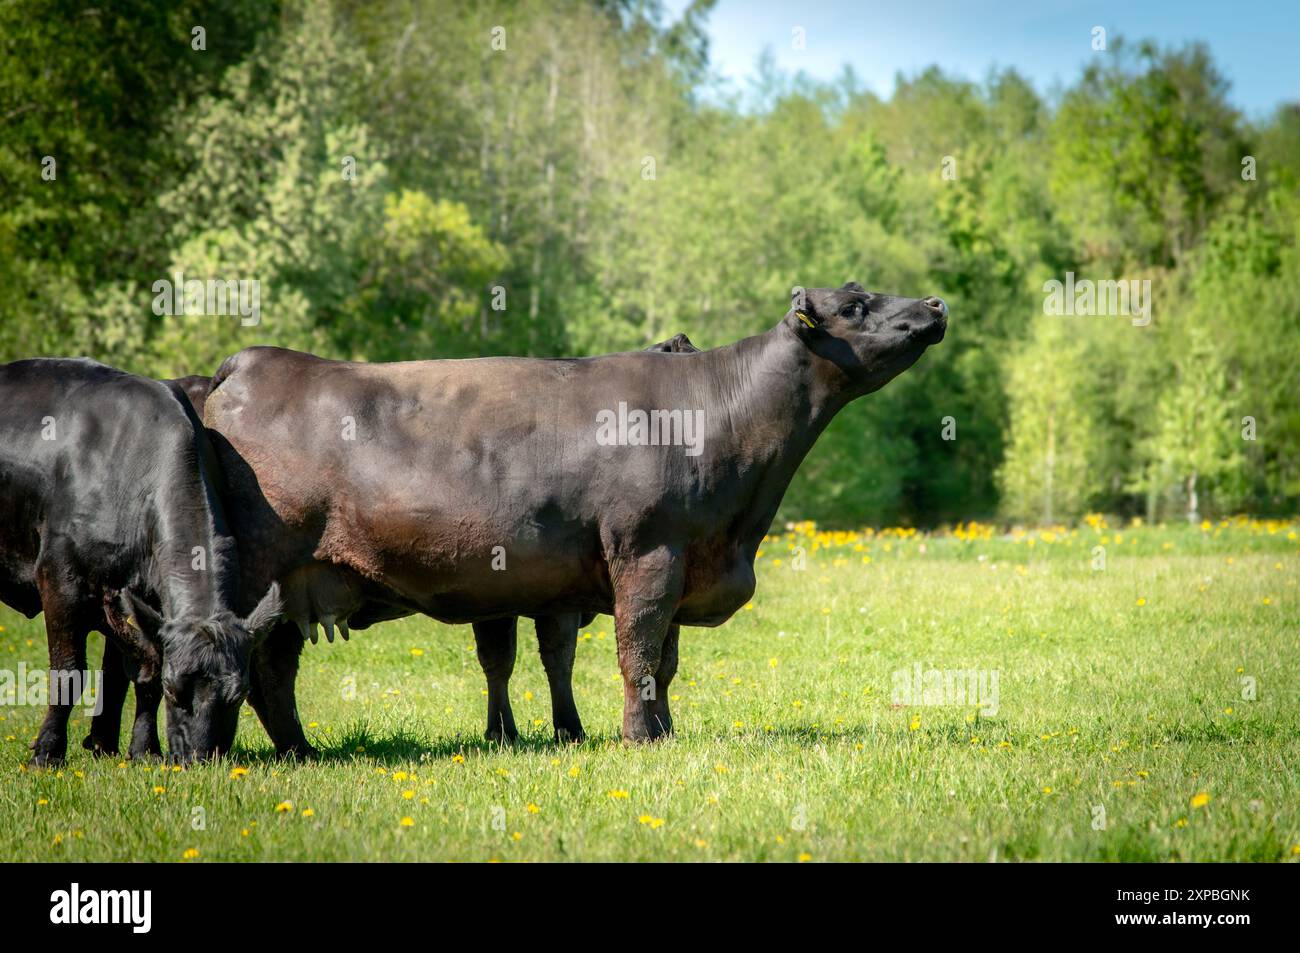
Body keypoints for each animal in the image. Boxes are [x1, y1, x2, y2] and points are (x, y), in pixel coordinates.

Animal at [0, 359, 281, 764]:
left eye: (239, 695)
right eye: (175, 690)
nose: (200, 758)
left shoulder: (139, 604)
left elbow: (142, 673)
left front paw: (140, 749)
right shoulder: (60, 581)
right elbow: (68, 672)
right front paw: (48, 752)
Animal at [193, 283, 944, 751]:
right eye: (855, 303)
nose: (936, 303)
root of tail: (252, 360)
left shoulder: (676, 560)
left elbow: (664, 659)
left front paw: (662, 731)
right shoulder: (648, 553)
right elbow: (638, 650)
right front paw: (639, 737)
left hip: (297, 581)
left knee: (274, 669)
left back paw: (299, 750)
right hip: (262, 567)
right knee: (254, 661)